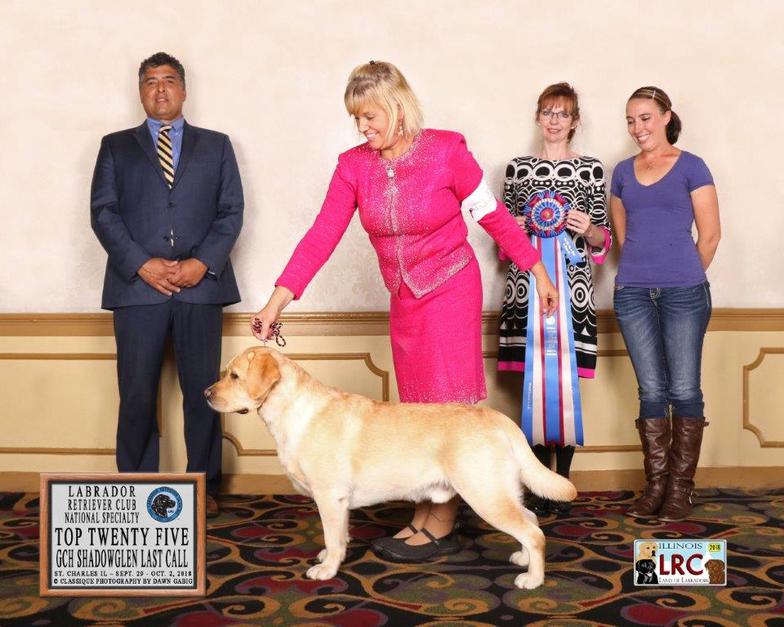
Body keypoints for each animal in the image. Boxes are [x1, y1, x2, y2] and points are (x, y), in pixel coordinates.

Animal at [204, 347, 577, 589]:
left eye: (234, 376)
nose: (206, 393)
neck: (292, 410)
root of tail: (499, 418)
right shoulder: (338, 503)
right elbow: (338, 535)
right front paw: (329, 556)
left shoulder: (329, 496)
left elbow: (333, 536)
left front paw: (326, 569)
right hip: (500, 492)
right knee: (531, 522)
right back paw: (523, 560)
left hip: (486, 495)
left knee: (534, 533)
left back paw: (533, 579)